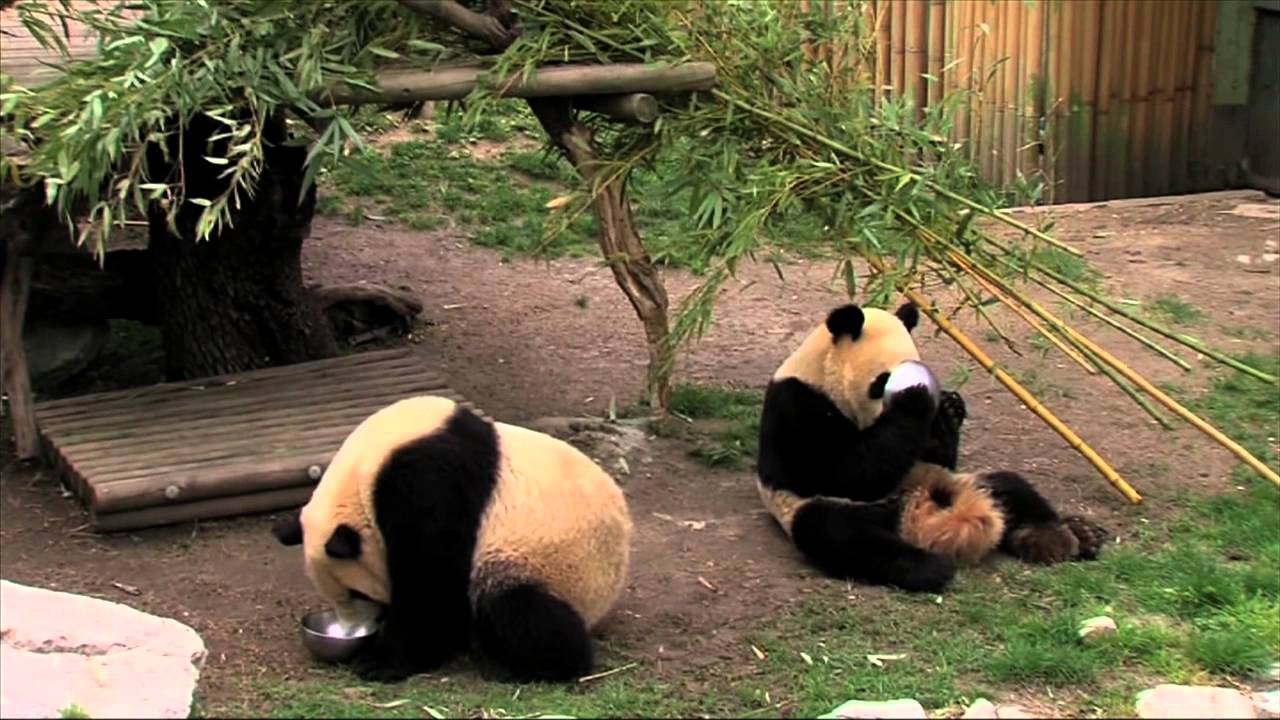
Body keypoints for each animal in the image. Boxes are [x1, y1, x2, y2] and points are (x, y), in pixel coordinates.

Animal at [271, 394, 633, 684]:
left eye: (357, 593)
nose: (353, 630)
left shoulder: (429, 484)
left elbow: (431, 578)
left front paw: (383, 661)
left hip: (552, 565)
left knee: (517, 608)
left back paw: (536, 666)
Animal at [755, 301, 1109, 593]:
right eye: (881, 382)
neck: (822, 372)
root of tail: (917, 520)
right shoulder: (798, 405)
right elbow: (839, 471)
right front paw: (915, 399)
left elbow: (935, 452)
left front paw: (949, 411)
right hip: (820, 509)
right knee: (839, 532)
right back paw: (929, 568)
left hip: (961, 482)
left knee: (1011, 487)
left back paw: (1066, 538)